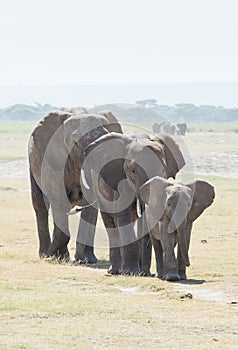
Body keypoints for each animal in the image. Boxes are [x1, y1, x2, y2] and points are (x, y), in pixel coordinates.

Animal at [28, 108, 122, 262]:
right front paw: (54, 256)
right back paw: (46, 254)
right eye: (76, 144)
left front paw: (86, 260)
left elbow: (90, 204)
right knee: (41, 205)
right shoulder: (55, 160)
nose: (50, 254)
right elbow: (58, 199)